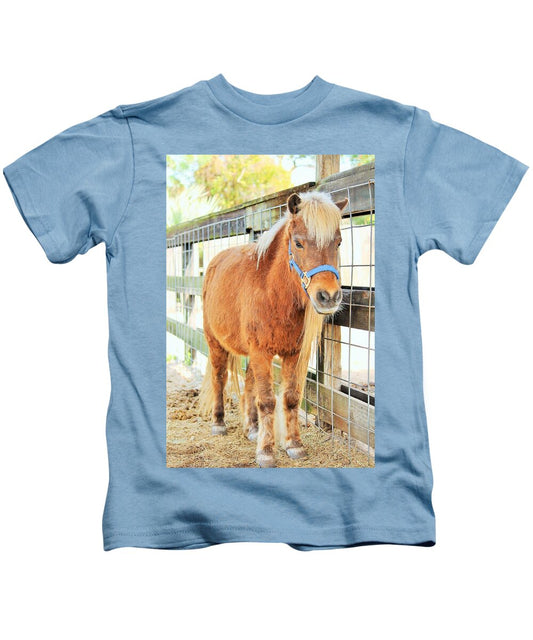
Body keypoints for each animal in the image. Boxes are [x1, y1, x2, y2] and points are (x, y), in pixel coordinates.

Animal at [199, 191, 348, 467]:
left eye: (339, 243)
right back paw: (219, 423)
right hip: (215, 343)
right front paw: (266, 452)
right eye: (298, 244)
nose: (329, 297)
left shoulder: (293, 354)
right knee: (219, 378)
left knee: (248, 383)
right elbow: (268, 401)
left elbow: (289, 398)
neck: (273, 293)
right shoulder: (261, 352)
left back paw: (252, 429)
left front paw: (294, 445)